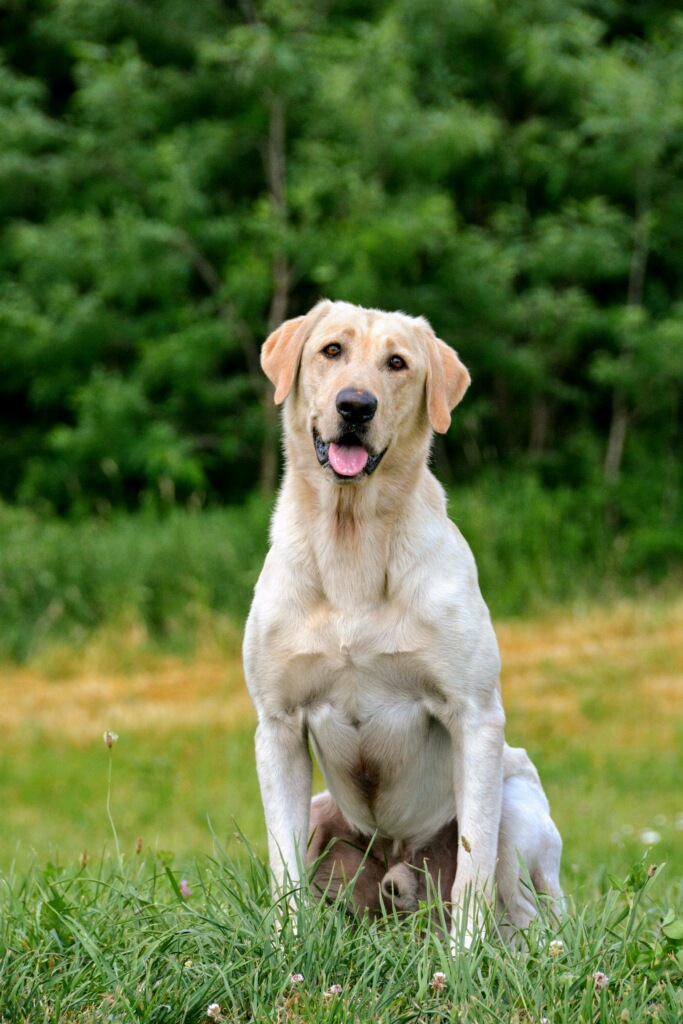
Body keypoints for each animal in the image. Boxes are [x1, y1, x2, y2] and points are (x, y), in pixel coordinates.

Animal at [242, 299, 565, 937]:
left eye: (397, 363)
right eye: (332, 350)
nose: (355, 405)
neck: (352, 543)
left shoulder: (475, 717)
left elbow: (473, 866)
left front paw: (466, 955)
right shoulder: (279, 726)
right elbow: (282, 866)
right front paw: (287, 944)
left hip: (517, 805)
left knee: (528, 915)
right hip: (324, 813)